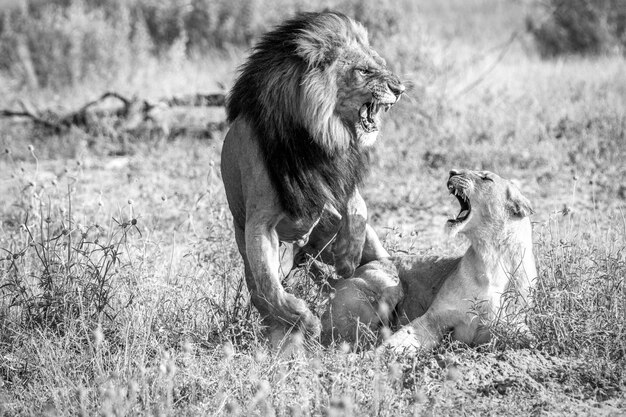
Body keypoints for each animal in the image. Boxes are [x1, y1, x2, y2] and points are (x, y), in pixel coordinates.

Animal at [219, 11, 404, 346]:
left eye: (381, 63)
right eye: (364, 71)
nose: (400, 88)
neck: (319, 136)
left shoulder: (339, 181)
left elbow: (358, 207)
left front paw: (347, 257)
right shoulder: (260, 223)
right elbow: (269, 285)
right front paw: (303, 319)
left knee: (385, 266)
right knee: (261, 290)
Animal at [322, 168, 536, 352]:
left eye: (486, 178)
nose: (452, 171)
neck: (490, 254)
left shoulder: (507, 324)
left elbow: (529, 338)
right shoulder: (434, 319)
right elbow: (399, 340)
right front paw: (371, 359)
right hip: (387, 285)